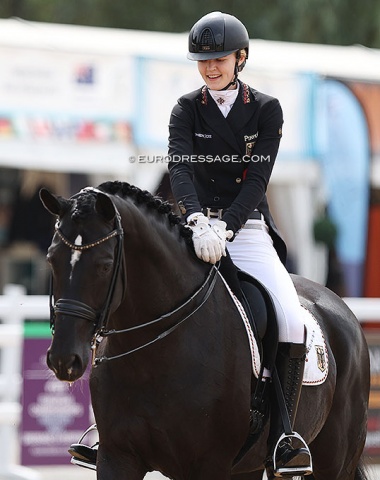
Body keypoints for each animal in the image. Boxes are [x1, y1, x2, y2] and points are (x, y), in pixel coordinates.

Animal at [40, 182, 370, 480]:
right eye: (51, 259)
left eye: (105, 265)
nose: (64, 360)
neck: (154, 354)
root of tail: (341, 306)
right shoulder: (117, 457)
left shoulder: (209, 464)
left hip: (334, 462)